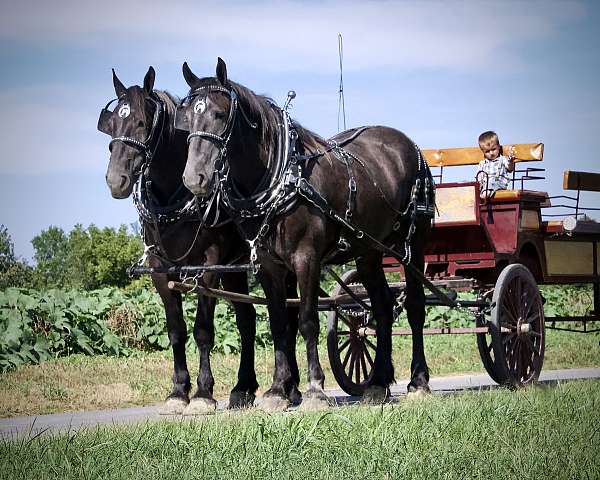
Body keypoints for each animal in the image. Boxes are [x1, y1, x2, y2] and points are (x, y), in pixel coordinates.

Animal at [98, 68, 262, 416]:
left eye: (141, 123)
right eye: (112, 124)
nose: (115, 180)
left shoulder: (208, 265)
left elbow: (202, 331)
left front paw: (202, 393)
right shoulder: (160, 269)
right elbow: (175, 331)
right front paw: (177, 392)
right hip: (234, 270)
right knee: (247, 320)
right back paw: (244, 388)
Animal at [178, 57, 436, 408]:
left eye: (219, 114)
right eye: (187, 116)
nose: (195, 178)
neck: (282, 176)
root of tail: (407, 144)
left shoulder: (307, 259)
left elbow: (307, 320)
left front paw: (315, 389)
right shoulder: (270, 266)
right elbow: (278, 324)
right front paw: (277, 390)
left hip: (414, 244)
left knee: (415, 307)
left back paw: (418, 381)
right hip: (369, 251)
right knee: (382, 307)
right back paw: (378, 383)